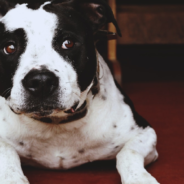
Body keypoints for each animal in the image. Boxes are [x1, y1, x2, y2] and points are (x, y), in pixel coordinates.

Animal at [0, 0, 160, 183]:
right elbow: (6, 150)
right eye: (9, 47)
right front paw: (12, 178)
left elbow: (128, 152)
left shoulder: (145, 133)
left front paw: (140, 178)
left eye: (68, 43)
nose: (40, 81)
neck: (56, 123)